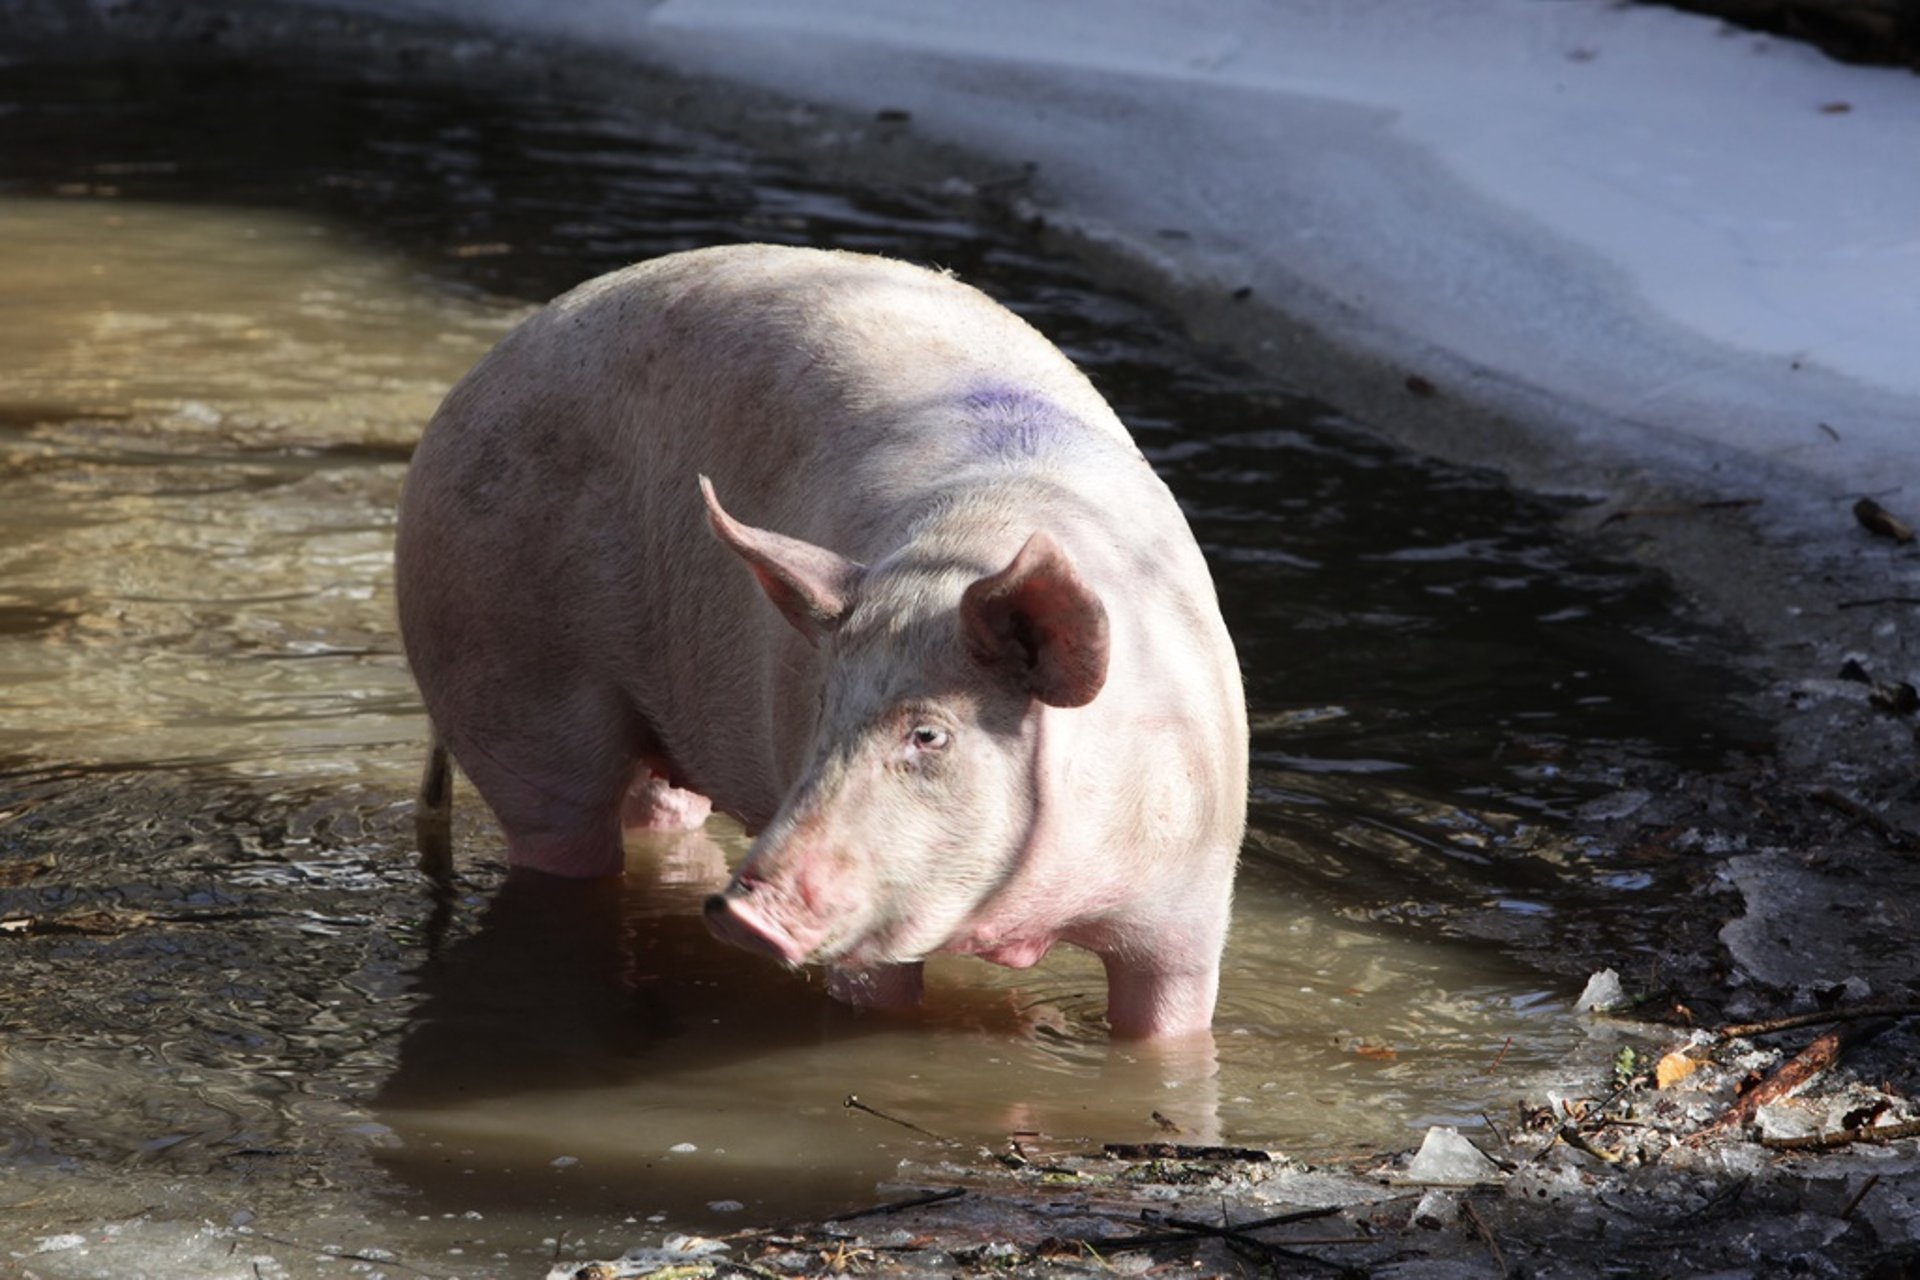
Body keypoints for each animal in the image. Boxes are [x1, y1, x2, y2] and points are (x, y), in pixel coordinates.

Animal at [397, 242, 1251, 1043]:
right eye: (822, 708)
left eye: (929, 734)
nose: (741, 909)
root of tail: (478, 376)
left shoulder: (1188, 911)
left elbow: (1169, 1027)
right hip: (505, 676)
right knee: (560, 834)